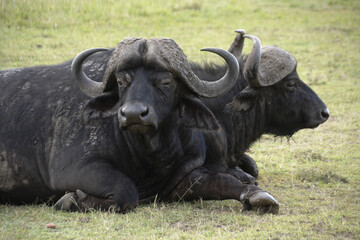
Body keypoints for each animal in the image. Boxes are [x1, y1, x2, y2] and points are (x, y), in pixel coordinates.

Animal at [0, 37, 278, 214]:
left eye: (165, 82)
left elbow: (232, 181)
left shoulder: (182, 179)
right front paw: (71, 200)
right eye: (122, 81)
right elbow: (126, 192)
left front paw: (257, 196)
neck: (148, 155)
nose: (133, 114)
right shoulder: (72, 169)